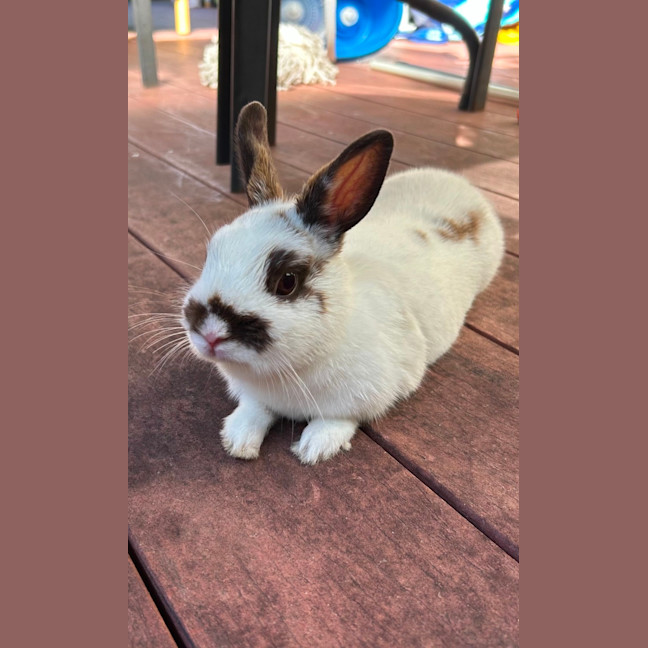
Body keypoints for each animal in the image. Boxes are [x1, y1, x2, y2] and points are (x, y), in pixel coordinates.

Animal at [181, 101, 504, 464]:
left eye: (287, 281)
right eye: (211, 252)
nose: (210, 332)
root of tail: (459, 184)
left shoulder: (368, 395)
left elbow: (339, 419)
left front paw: (314, 449)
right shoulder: (256, 396)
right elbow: (255, 409)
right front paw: (237, 441)